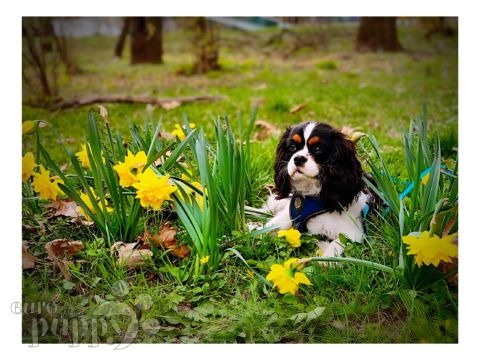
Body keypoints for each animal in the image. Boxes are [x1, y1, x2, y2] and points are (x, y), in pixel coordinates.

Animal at [264, 122, 370, 258]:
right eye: (292, 147)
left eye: (318, 149)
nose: (298, 158)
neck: (310, 193)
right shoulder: (288, 216)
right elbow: (268, 227)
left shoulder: (353, 233)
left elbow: (335, 246)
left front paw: (322, 260)